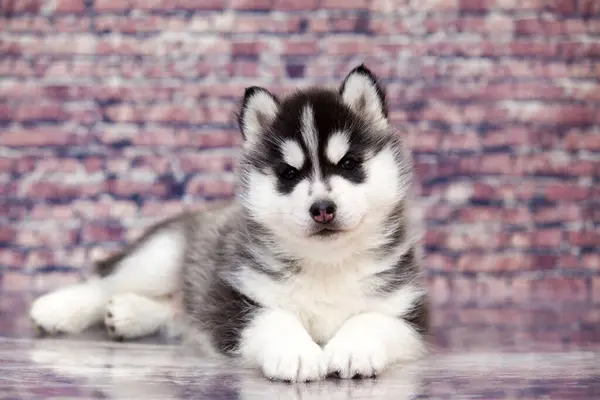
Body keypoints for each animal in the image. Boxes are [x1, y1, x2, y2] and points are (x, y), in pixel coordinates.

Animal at [30, 65, 428, 382]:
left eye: (348, 164)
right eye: (288, 174)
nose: (322, 209)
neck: (326, 265)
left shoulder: (411, 312)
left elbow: (373, 319)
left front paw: (352, 349)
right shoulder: (234, 301)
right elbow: (273, 318)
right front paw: (296, 353)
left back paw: (128, 313)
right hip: (161, 257)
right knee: (106, 282)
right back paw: (57, 309)